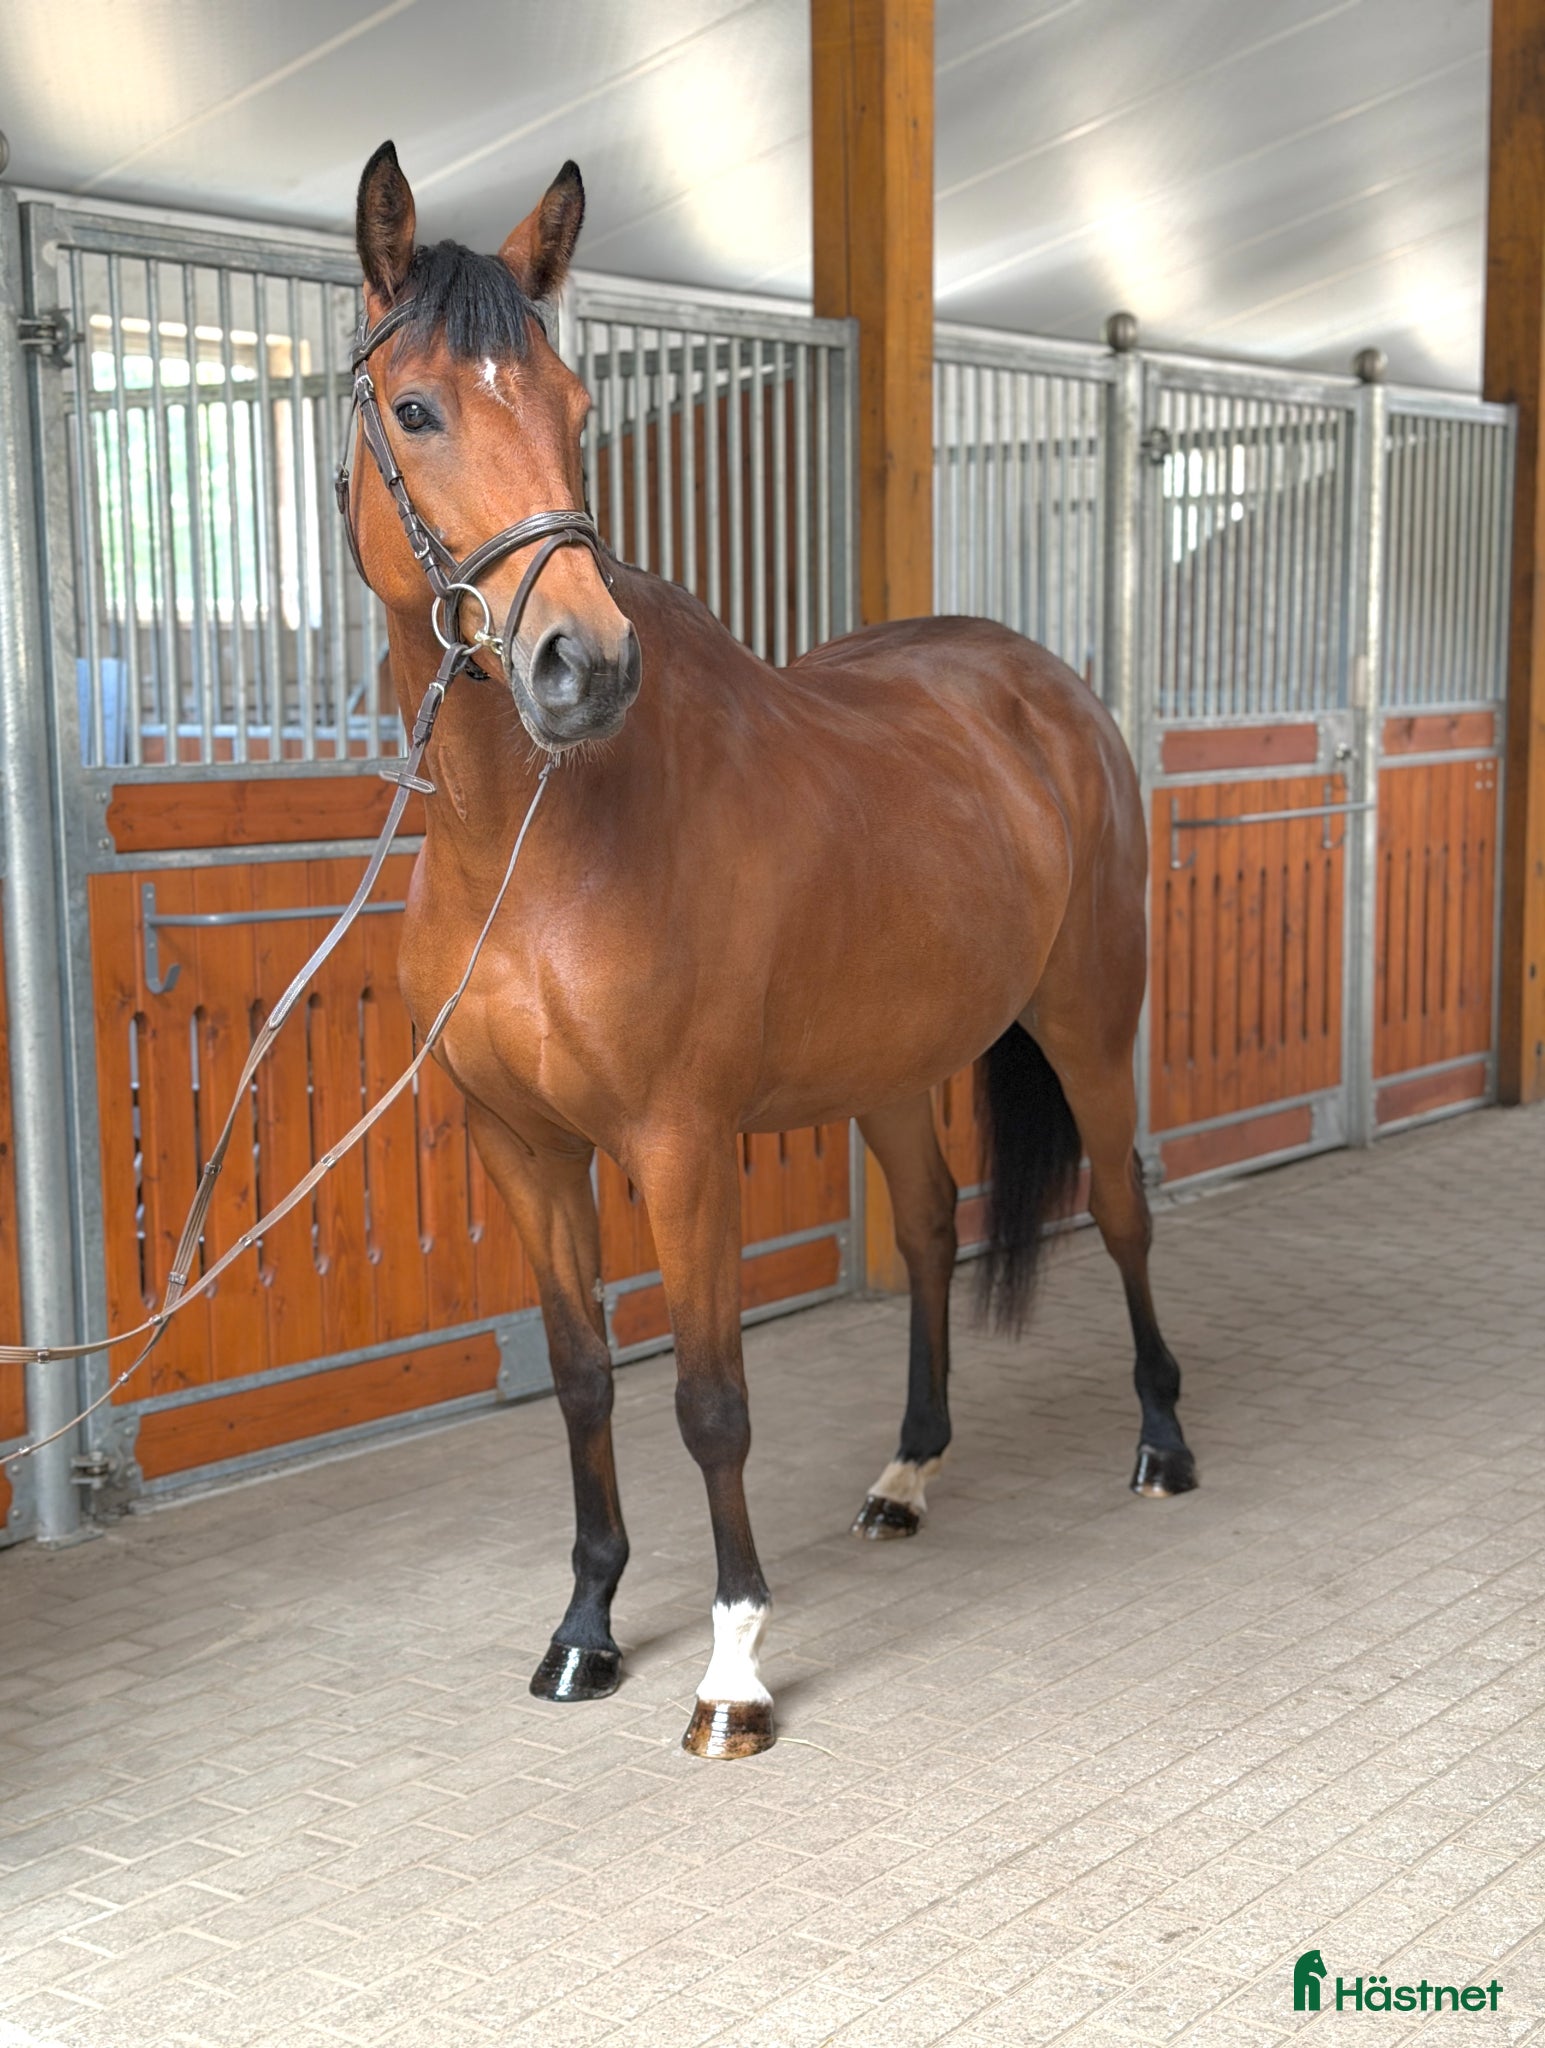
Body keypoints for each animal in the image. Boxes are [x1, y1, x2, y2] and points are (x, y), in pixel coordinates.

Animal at [345, 141, 1195, 1760]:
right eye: (415, 408)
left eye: (576, 409)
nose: (581, 665)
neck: (536, 848)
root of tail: (1043, 686)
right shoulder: (523, 1149)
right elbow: (584, 1382)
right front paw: (585, 1630)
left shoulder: (682, 1149)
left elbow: (710, 1401)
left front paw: (732, 1672)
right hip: (892, 1060)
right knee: (925, 1227)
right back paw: (905, 1476)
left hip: (1090, 1019)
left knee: (1124, 1211)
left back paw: (1165, 1441)